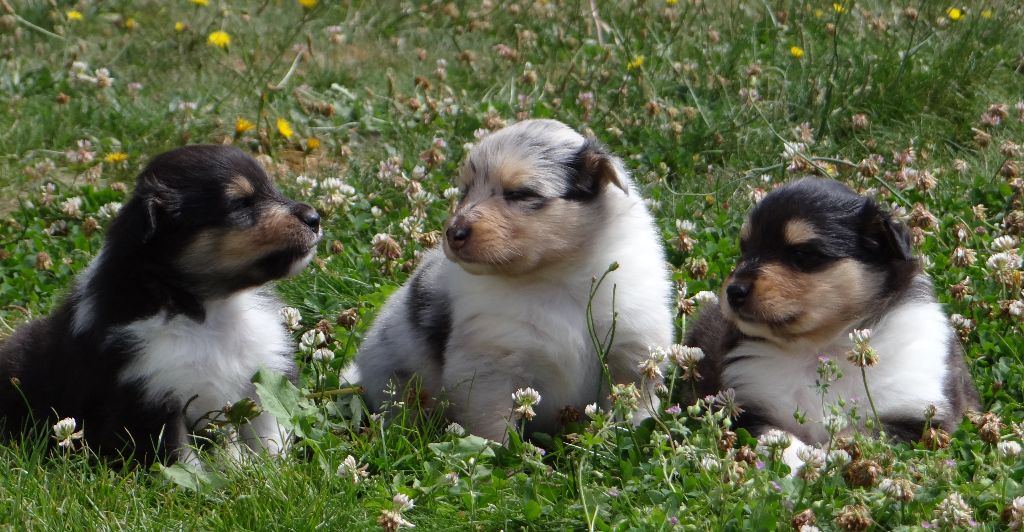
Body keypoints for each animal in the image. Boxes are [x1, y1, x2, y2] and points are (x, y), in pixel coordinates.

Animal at [0, 143, 319, 462]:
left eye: (272, 187)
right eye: (240, 203)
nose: (315, 218)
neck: (213, 309)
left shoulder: (265, 373)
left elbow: (271, 436)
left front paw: (274, 469)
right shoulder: (152, 396)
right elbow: (182, 458)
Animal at [348, 119, 675, 439]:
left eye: (521, 194)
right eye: (465, 191)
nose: (454, 233)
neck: (557, 276)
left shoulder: (631, 350)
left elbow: (633, 404)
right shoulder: (491, 366)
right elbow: (493, 427)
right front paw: (498, 453)